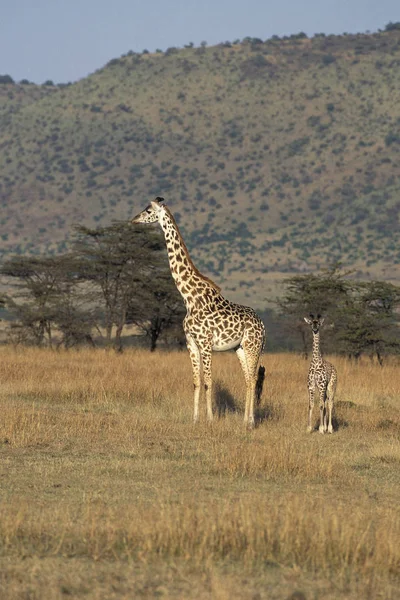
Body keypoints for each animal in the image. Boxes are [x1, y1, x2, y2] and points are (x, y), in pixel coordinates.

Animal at [133, 198, 268, 426]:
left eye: (148, 210)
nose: (134, 220)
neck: (189, 297)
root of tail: (263, 324)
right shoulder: (191, 342)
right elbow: (196, 381)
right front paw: (195, 419)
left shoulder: (205, 343)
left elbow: (208, 382)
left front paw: (210, 419)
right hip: (239, 348)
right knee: (249, 379)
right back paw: (245, 420)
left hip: (253, 346)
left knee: (254, 377)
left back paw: (250, 422)